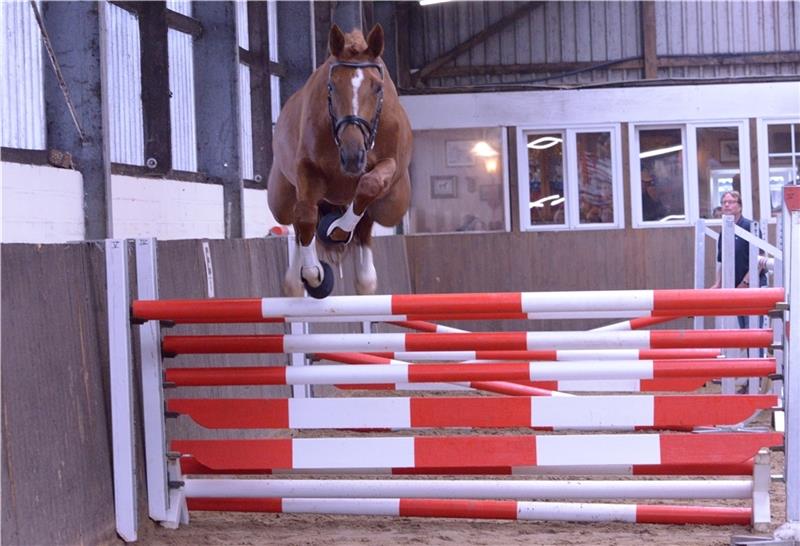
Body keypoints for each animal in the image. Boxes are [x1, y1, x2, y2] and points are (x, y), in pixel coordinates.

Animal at [268, 23, 412, 298]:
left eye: (378, 88)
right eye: (332, 86)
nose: (352, 156)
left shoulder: (389, 165)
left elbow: (370, 185)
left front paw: (336, 230)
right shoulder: (307, 170)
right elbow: (305, 215)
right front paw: (313, 274)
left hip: (392, 207)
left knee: (365, 233)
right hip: (280, 201)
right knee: (296, 220)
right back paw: (297, 278)